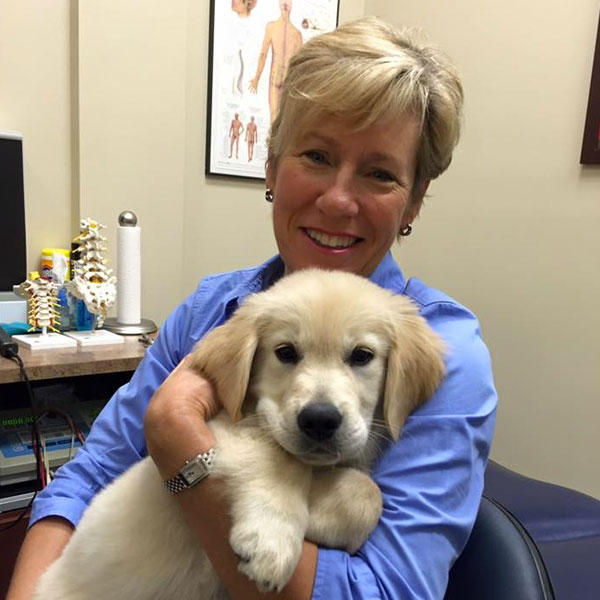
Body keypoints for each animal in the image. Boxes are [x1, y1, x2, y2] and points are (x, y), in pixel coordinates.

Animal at [34, 270, 446, 600]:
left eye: (362, 356)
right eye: (285, 352)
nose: (319, 420)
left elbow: (365, 492)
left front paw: (318, 516)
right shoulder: (225, 430)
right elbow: (279, 460)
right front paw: (273, 541)